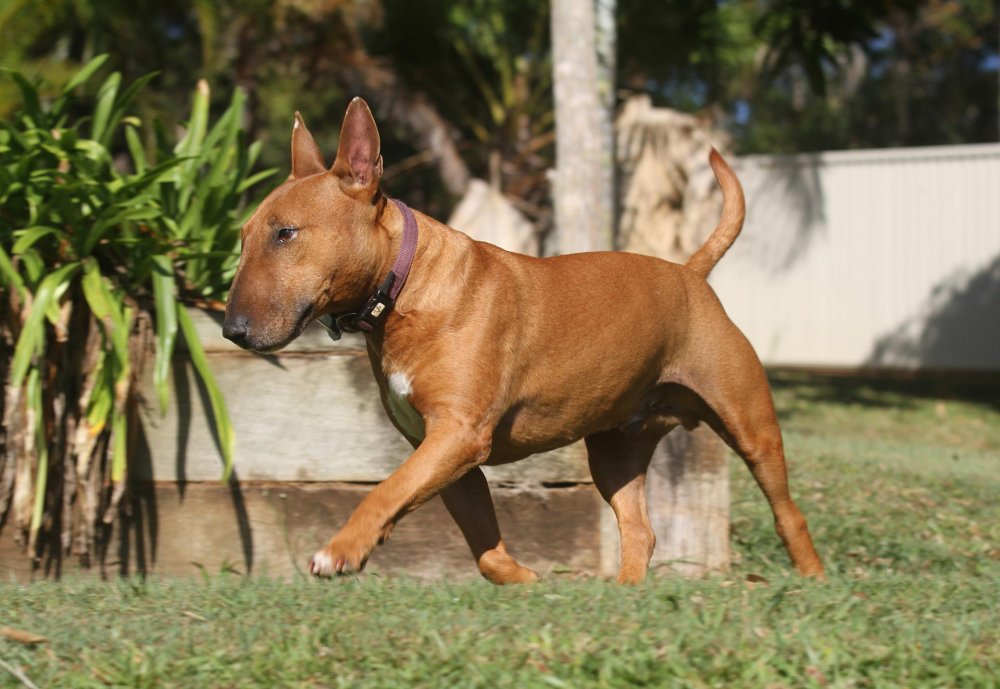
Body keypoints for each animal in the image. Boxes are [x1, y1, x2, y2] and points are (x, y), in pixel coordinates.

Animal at [223, 98, 824, 580]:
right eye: (244, 236)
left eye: (286, 233)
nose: (232, 330)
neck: (405, 286)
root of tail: (690, 272)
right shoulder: (444, 455)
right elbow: (483, 551)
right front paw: (529, 581)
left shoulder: (458, 437)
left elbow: (385, 491)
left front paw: (342, 549)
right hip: (615, 451)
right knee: (639, 529)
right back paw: (624, 596)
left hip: (750, 423)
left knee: (787, 511)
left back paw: (812, 579)